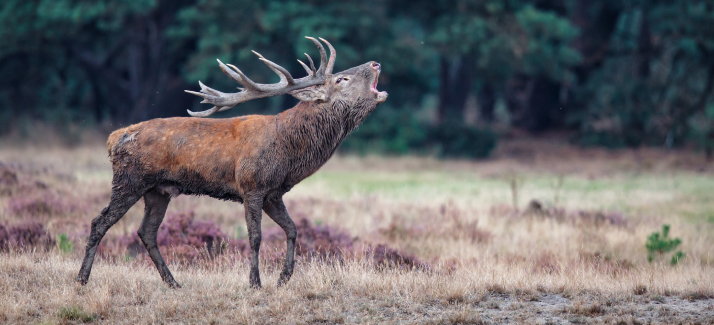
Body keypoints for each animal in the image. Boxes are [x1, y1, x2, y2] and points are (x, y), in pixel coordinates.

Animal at [76, 36, 386, 288]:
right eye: (341, 80)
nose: (375, 63)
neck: (289, 154)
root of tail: (113, 139)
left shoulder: (274, 193)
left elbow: (293, 229)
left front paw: (284, 277)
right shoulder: (252, 185)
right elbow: (256, 236)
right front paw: (255, 282)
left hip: (158, 190)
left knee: (146, 231)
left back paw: (173, 282)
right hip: (129, 181)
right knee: (99, 222)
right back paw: (82, 278)